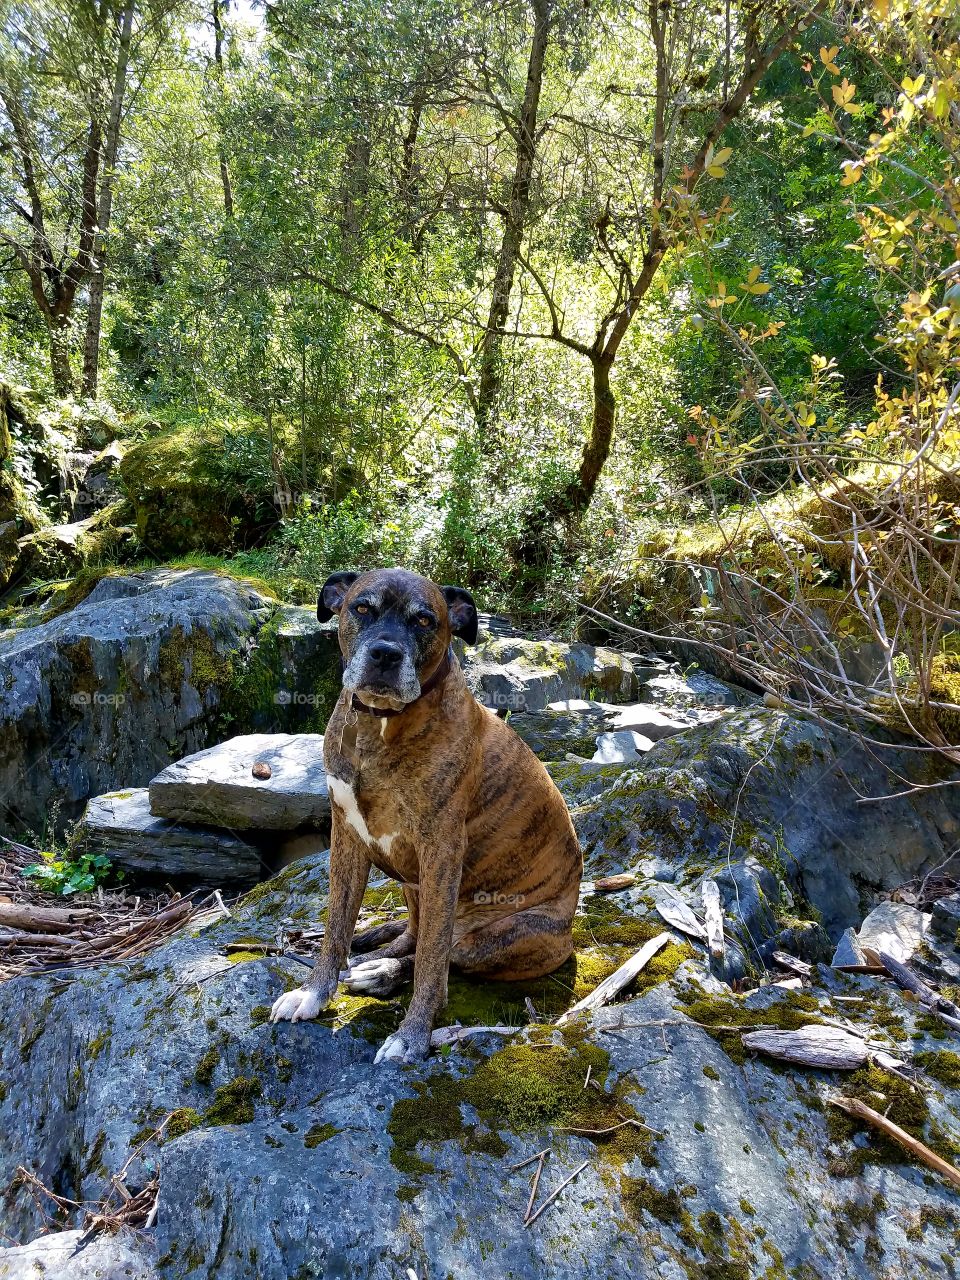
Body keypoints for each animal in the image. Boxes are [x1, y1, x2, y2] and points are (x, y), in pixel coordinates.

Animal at [271, 568, 586, 1059]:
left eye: (424, 620)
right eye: (362, 608)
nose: (385, 653)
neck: (378, 725)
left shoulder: (440, 852)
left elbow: (432, 965)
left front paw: (412, 1035)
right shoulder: (347, 840)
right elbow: (336, 925)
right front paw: (314, 991)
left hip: (507, 936)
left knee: (442, 956)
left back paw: (381, 973)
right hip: (413, 890)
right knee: (412, 937)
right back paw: (371, 956)